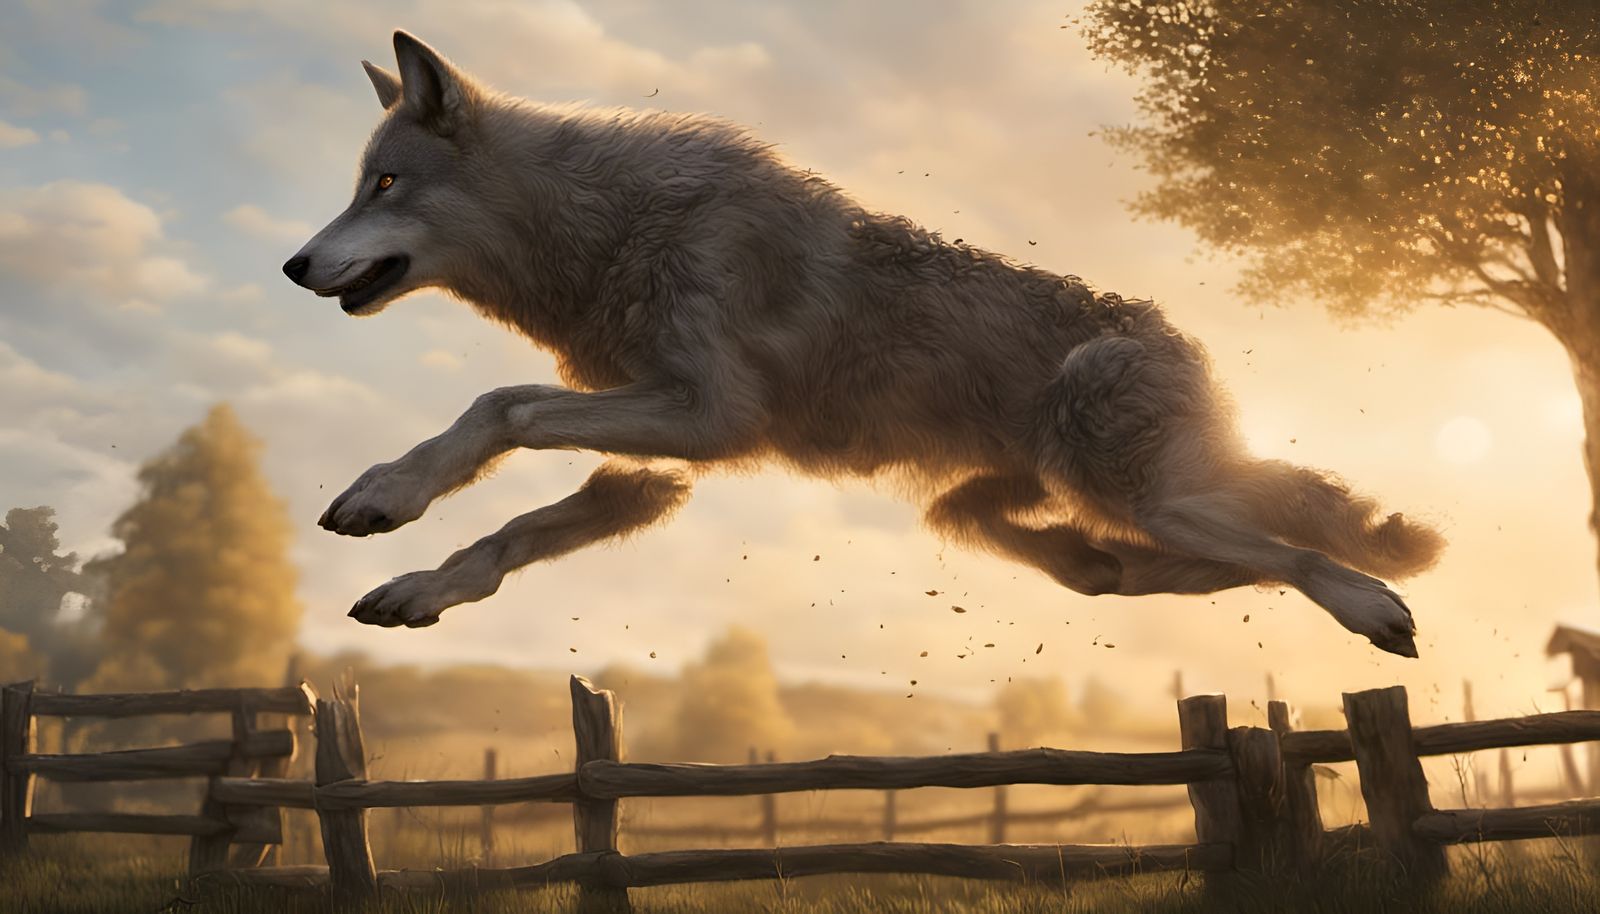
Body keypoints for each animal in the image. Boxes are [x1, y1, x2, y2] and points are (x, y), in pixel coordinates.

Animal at [284, 31, 1443, 656]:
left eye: (384, 183)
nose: (294, 265)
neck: (606, 232)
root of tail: (1197, 356)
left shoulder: (706, 417)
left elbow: (500, 406)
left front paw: (389, 490)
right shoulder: (657, 466)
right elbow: (511, 531)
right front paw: (420, 585)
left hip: (1132, 489)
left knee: (1291, 547)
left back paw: (1370, 599)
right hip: (1038, 508)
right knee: (1165, 565)